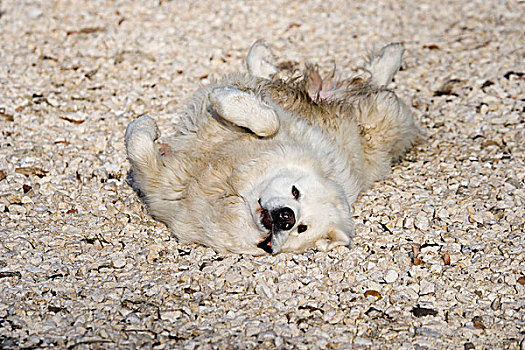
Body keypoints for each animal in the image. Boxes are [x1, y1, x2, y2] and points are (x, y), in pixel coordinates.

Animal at [124, 40, 422, 254]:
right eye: (295, 191)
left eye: (301, 228)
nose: (286, 217)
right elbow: (268, 120)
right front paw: (224, 98)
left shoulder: (159, 184)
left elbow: (138, 145)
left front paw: (144, 126)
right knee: (268, 74)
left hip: (382, 115)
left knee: (379, 83)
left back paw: (393, 53)